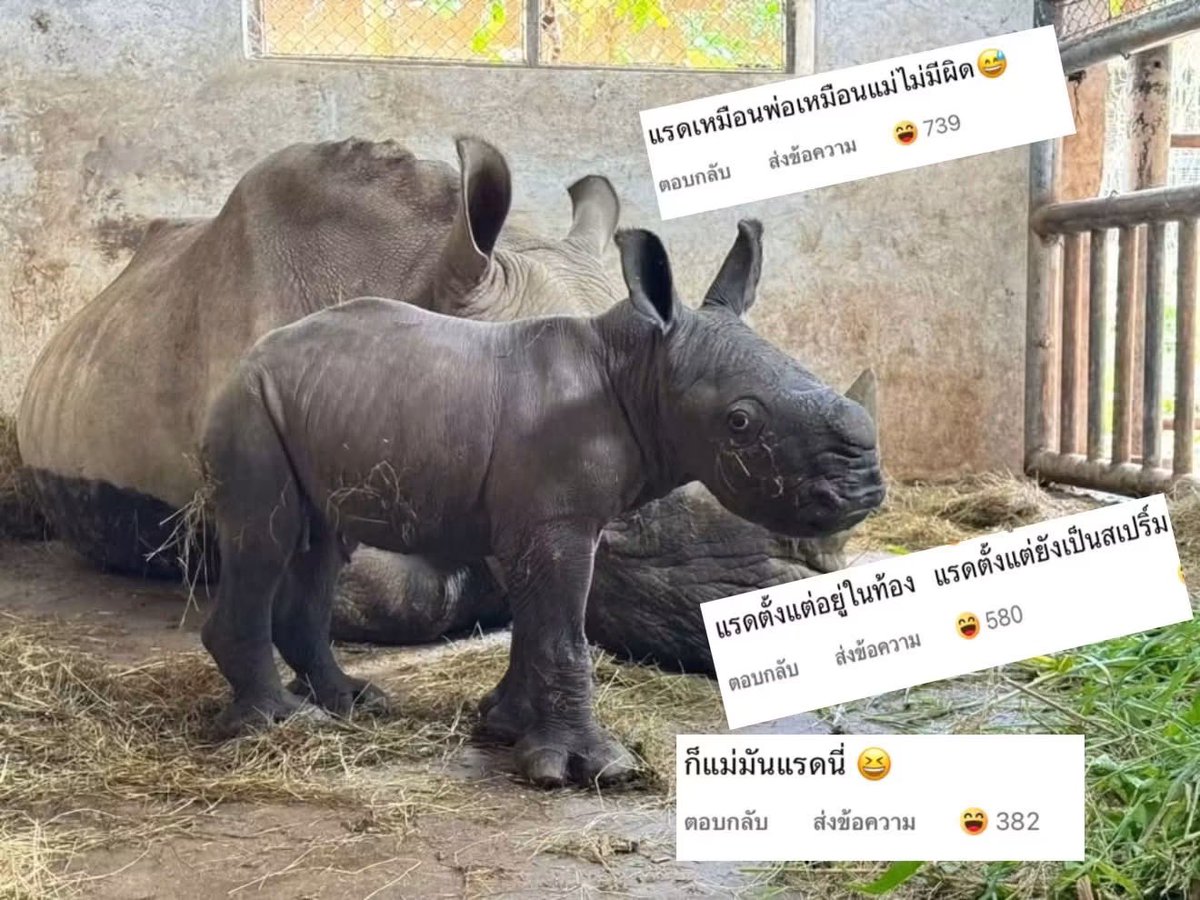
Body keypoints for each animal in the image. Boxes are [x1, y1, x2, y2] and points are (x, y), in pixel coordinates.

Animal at [199, 218, 885, 787]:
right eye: (740, 423)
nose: (866, 489)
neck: (639, 366)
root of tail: (246, 357)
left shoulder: (540, 520)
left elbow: (537, 624)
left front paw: (503, 726)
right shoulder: (556, 519)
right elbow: (563, 633)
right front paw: (593, 770)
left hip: (314, 403)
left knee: (320, 544)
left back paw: (351, 703)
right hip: (250, 405)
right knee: (265, 538)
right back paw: (280, 723)